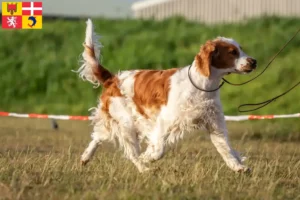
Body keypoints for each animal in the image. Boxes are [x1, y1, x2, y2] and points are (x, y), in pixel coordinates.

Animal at [76, 18, 256, 173]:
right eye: (232, 52)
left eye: (241, 49)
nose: (254, 61)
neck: (202, 85)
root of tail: (113, 79)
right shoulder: (165, 121)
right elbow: (159, 150)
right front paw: (147, 158)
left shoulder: (214, 123)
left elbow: (225, 149)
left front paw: (239, 167)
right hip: (127, 123)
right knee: (130, 152)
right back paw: (144, 168)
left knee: (98, 136)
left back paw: (85, 157)